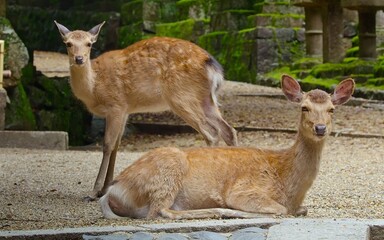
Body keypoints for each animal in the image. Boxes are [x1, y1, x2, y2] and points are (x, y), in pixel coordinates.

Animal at [54, 21, 237, 201]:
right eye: (68, 43)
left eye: (89, 43)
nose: (79, 59)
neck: (94, 88)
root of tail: (212, 66)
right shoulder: (125, 110)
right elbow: (116, 146)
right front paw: (105, 189)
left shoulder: (116, 105)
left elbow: (107, 145)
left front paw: (94, 192)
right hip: (206, 99)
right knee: (228, 130)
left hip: (182, 96)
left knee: (211, 132)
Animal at [98, 75, 354, 219]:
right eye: (304, 107)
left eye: (332, 109)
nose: (320, 128)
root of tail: (115, 190)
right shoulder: (244, 189)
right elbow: (280, 210)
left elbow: (302, 209)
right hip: (167, 171)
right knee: (159, 212)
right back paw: (223, 211)